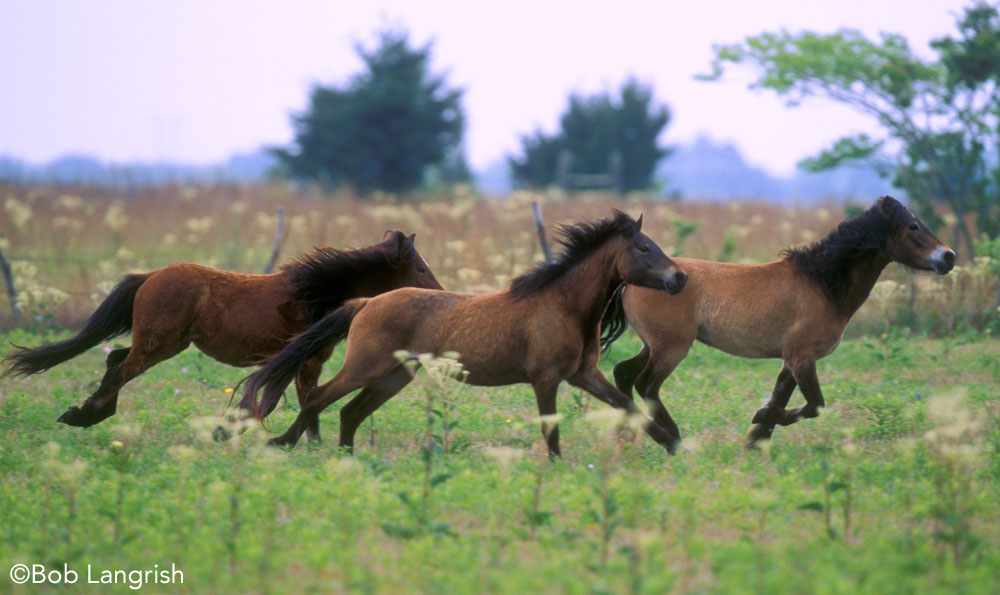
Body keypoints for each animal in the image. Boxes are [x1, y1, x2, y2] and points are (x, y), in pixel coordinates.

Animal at [2, 228, 442, 438]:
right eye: (420, 267)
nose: (439, 294)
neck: (315, 294)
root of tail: (150, 277)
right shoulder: (307, 361)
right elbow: (297, 401)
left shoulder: (307, 363)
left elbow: (305, 402)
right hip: (159, 346)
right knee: (120, 369)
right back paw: (84, 415)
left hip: (161, 343)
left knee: (114, 359)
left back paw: (89, 414)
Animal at [240, 211, 688, 456]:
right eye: (644, 248)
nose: (679, 278)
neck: (561, 305)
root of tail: (366, 303)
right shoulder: (545, 379)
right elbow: (552, 429)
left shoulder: (584, 375)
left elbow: (628, 407)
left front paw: (674, 445)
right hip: (367, 367)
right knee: (319, 397)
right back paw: (284, 442)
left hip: (394, 376)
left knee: (349, 412)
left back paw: (348, 459)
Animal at [604, 196, 956, 448]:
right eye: (913, 227)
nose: (949, 256)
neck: (821, 283)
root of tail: (628, 281)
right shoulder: (802, 356)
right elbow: (814, 405)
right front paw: (759, 420)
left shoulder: (791, 359)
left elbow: (781, 396)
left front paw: (756, 437)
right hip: (671, 347)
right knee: (646, 385)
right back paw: (672, 438)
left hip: (652, 345)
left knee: (623, 374)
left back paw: (626, 435)